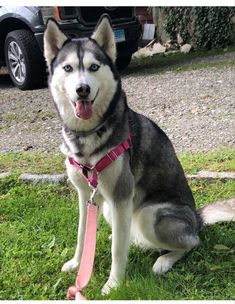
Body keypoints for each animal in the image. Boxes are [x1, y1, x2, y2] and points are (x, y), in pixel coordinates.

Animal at [43, 15, 233, 296]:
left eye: (93, 67)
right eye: (68, 68)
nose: (82, 89)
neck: (87, 136)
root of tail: (197, 219)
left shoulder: (121, 195)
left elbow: (116, 252)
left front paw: (113, 284)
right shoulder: (85, 195)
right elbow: (81, 235)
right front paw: (77, 264)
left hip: (150, 215)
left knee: (191, 242)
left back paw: (164, 260)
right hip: (112, 210)